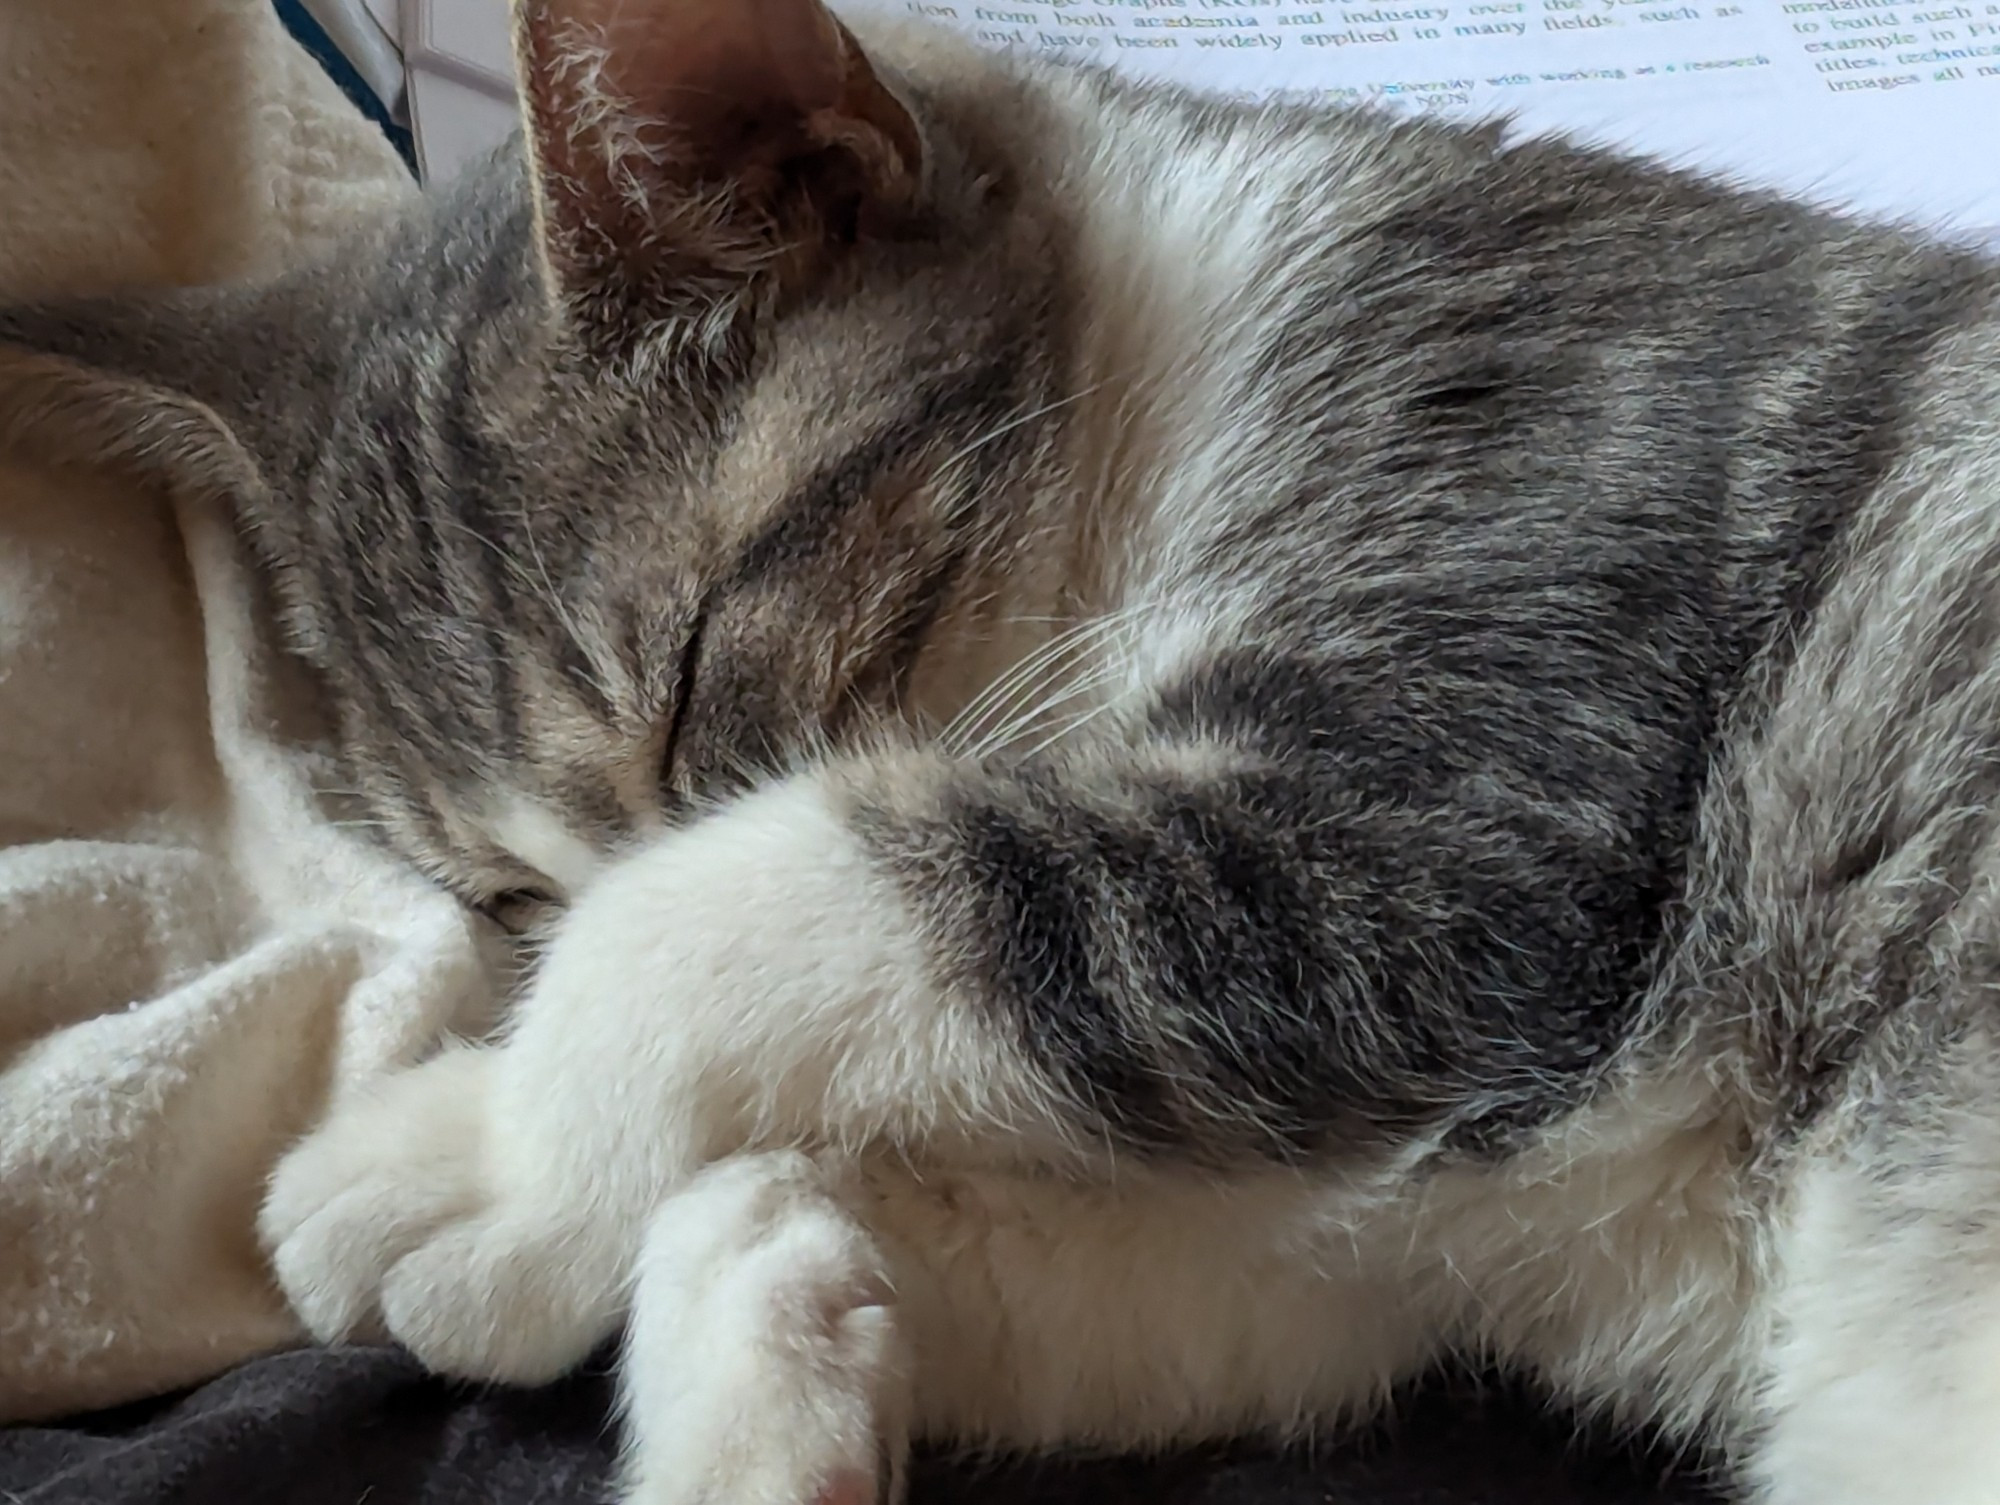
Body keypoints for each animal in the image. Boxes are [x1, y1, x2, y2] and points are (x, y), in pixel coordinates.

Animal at [3, 0, 2000, 1496]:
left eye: (698, 679)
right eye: (499, 892)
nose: (520, 939)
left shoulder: (1477, 764)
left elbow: (752, 903)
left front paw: (498, 1158)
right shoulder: (1403, 1237)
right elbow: (1189, 1269)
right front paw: (762, 1310)